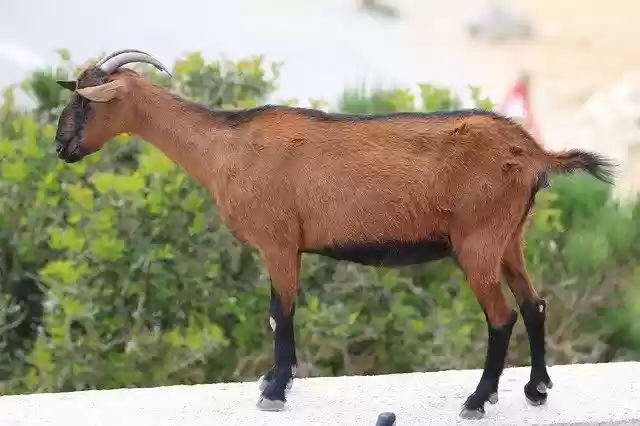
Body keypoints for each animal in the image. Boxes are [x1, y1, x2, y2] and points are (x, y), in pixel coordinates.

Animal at [53, 49, 616, 420]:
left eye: (85, 103)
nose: (60, 148)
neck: (224, 147)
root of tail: (535, 153)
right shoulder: (281, 246)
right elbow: (278, 313)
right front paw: (273, 381)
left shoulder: (279, 241)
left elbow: (281, 312)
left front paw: (274, 391)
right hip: (510, 238)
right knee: (534, 304)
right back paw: (537, 390)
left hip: (477, 241)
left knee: (501, 316)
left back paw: (478, 400)